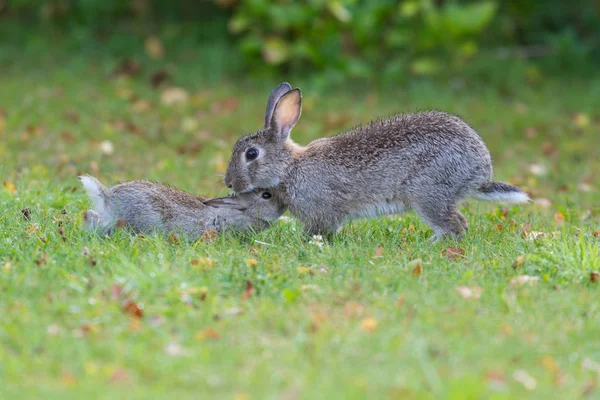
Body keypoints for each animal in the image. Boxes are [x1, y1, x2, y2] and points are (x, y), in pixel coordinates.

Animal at [223, 82, 528, 241]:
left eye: (251, 154)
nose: (228, 183)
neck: (289, 168)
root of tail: (480, 171)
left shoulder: (321, 210)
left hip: (429, 193)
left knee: (454, 225)